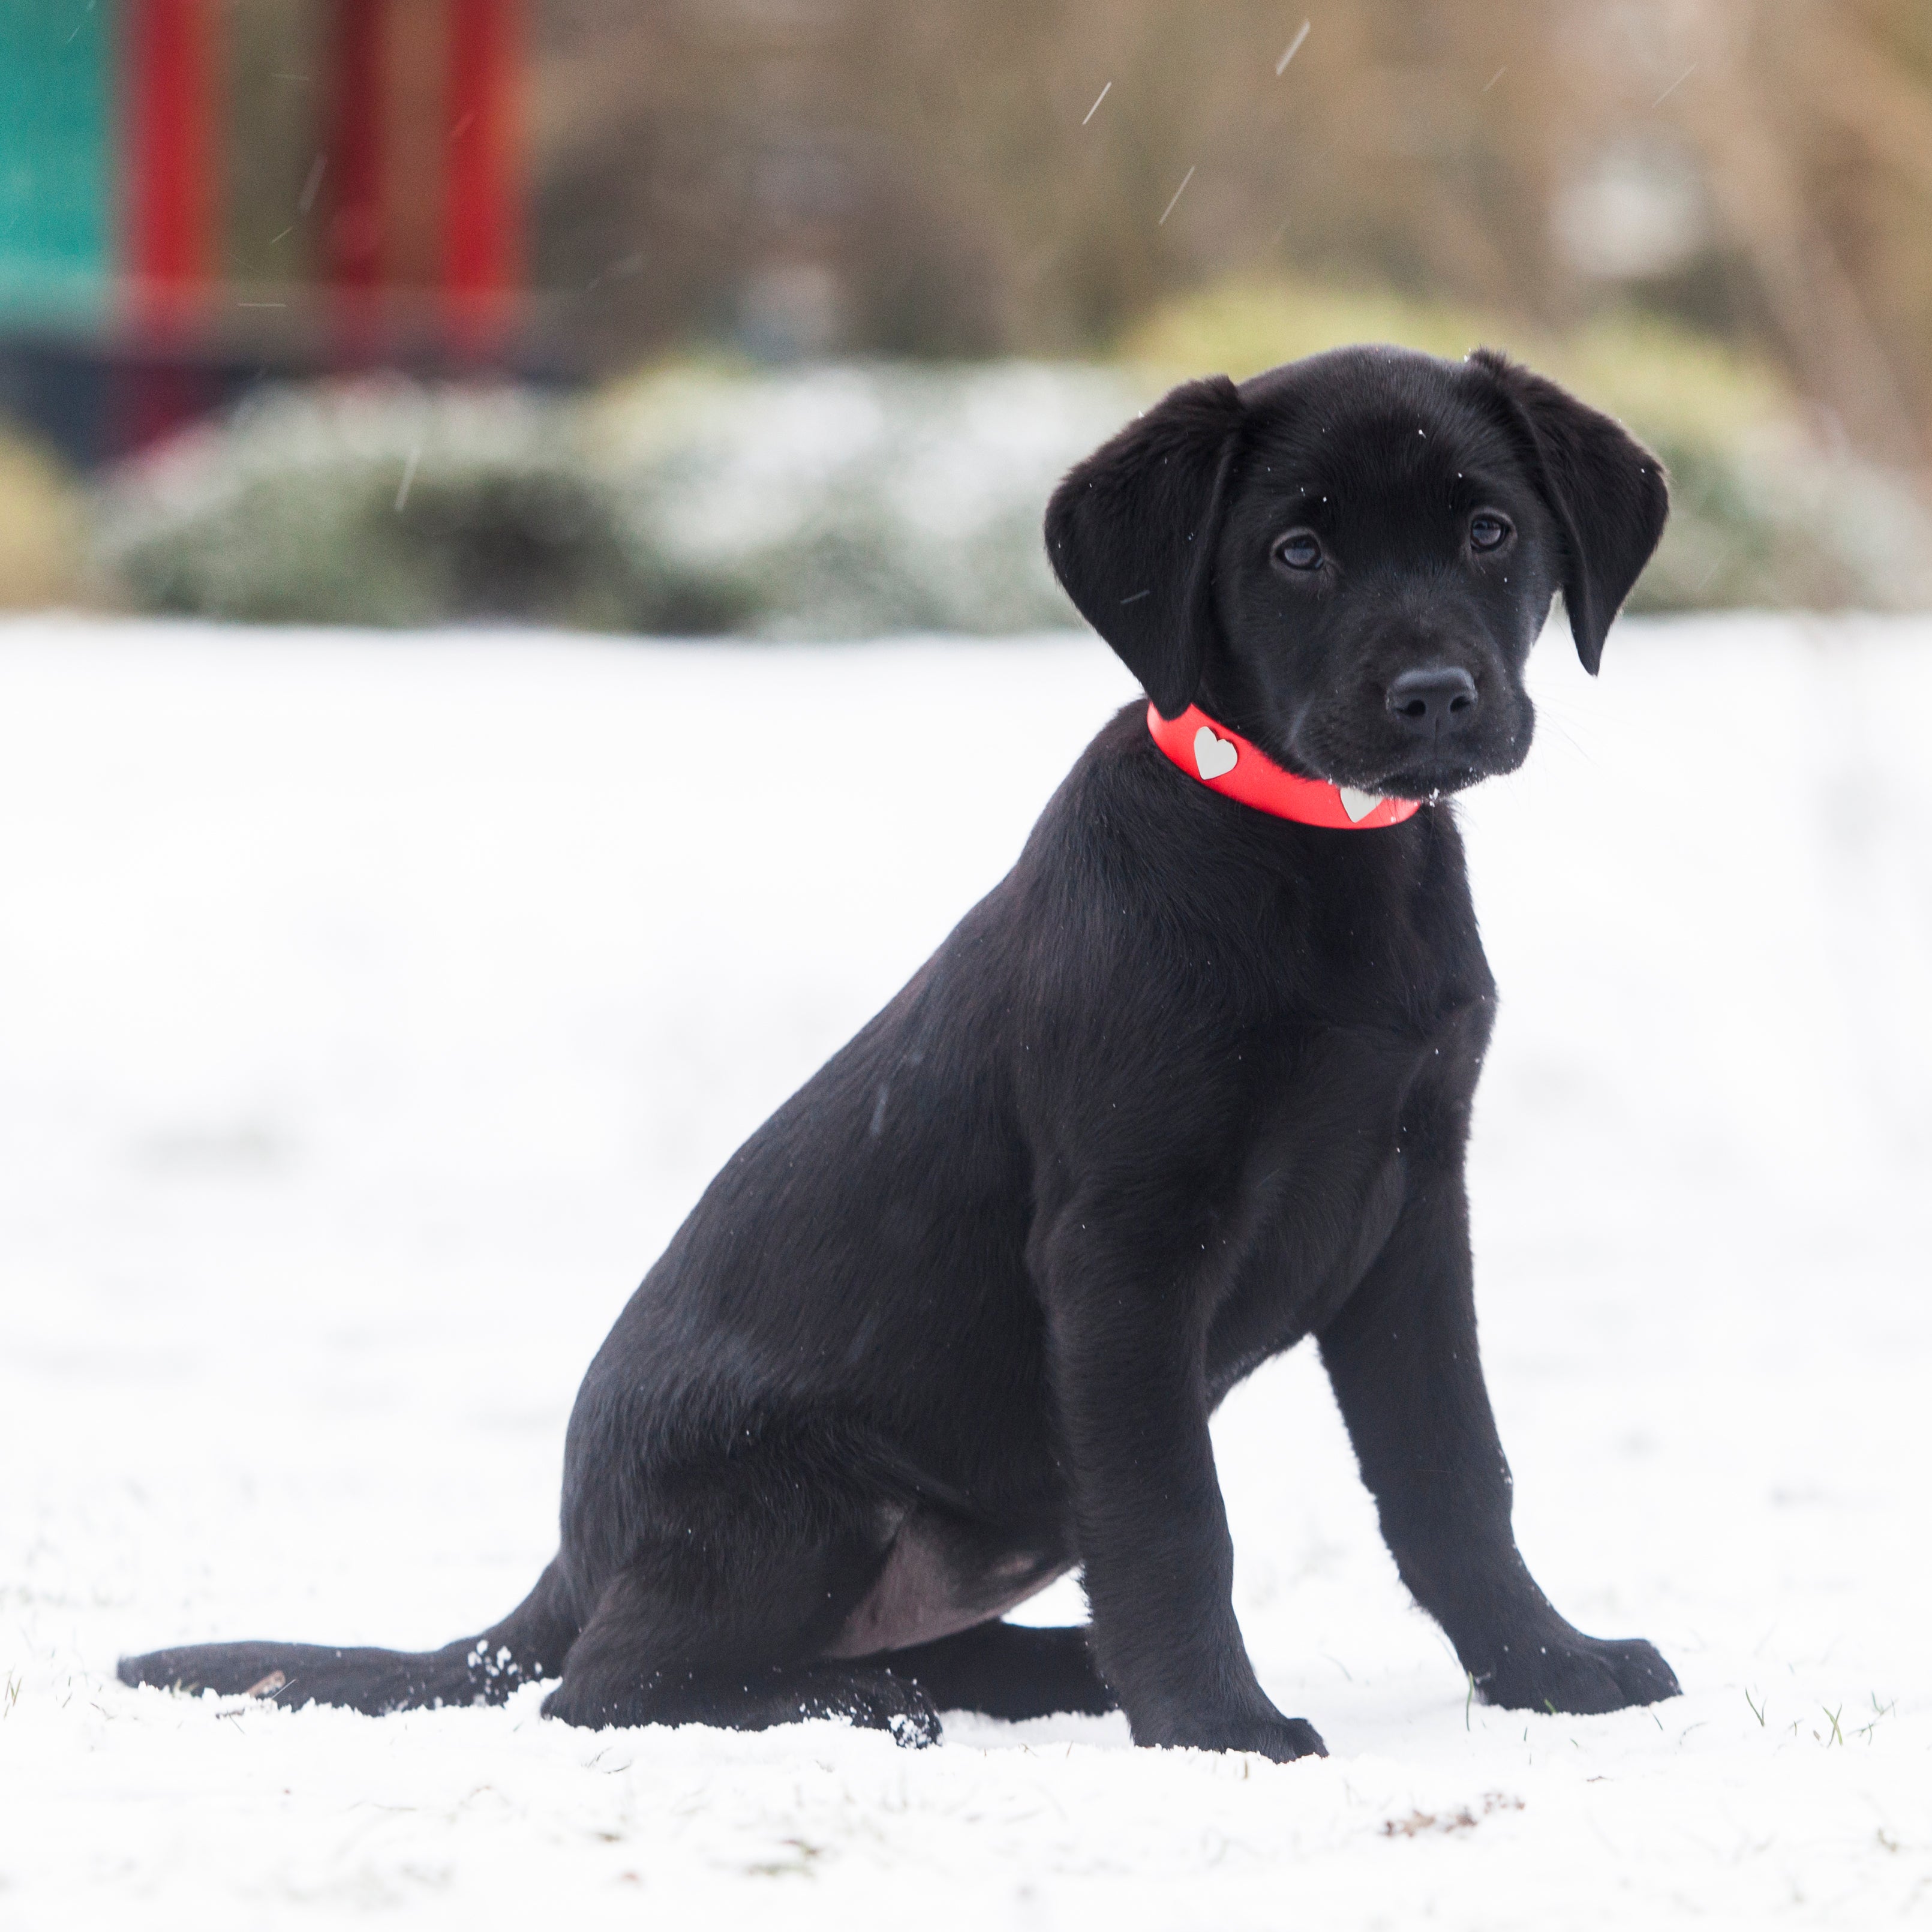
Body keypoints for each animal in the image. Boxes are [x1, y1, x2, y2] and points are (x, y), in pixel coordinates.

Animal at [128, 339, 1684, 1762]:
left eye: (1488, 530)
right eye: (1296, 551)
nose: (1432, 694)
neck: (1312, 851)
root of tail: (573, 1560)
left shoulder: (1412, 1208)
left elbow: (1452, 1473)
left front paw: (1546, 1664)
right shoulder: (1120, 1243)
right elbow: (1173, 1512)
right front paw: (1215, 1727)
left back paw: (1052, 1669)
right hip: (797, 1495)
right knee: (605, 1687)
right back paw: (848, 1702)